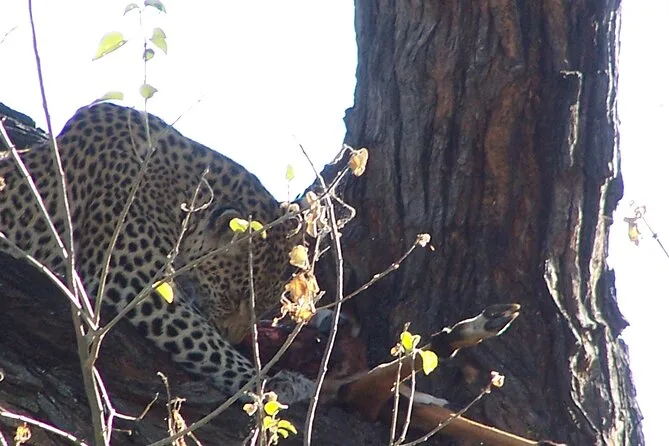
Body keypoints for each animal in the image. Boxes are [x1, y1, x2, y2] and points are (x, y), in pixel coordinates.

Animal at [0, 102, 313, 403]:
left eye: (262, 310)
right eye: (232, 298)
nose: (233, 337)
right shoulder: (132, 280)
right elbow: (204, 340)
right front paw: (270, 385)